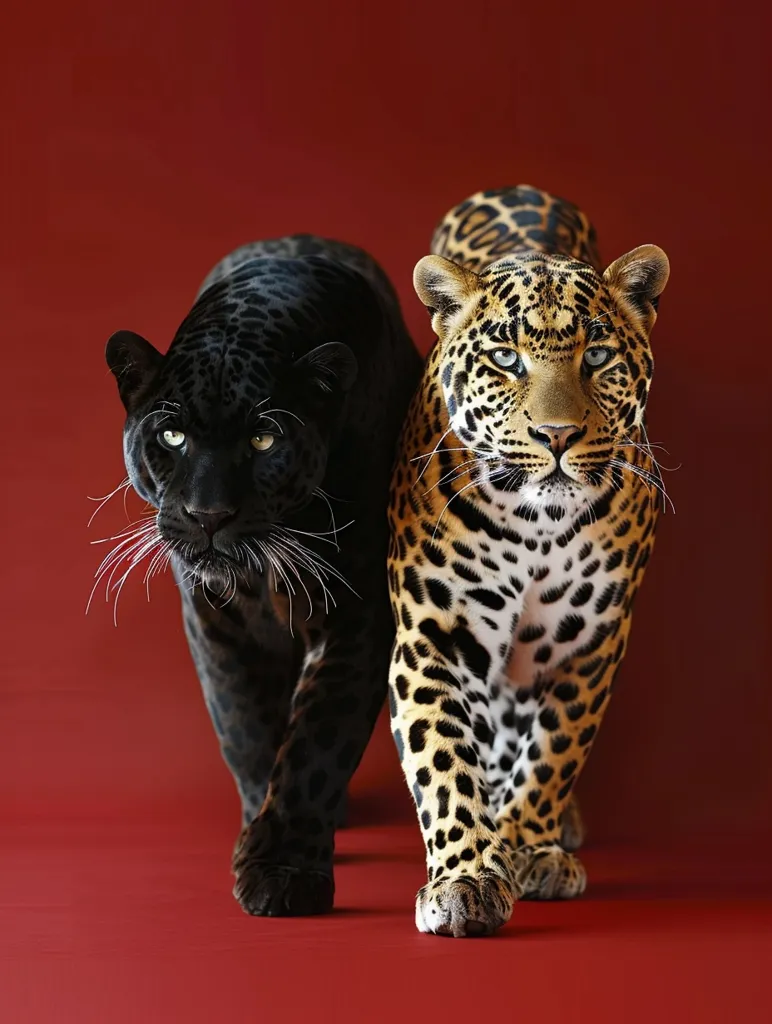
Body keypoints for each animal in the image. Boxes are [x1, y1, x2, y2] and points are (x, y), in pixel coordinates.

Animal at [104, 234, 422, 916]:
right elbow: (244, 724)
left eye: (262, 440)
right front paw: (258, 827)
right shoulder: (215, 619)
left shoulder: (358, 616)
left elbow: (318, 742)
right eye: (172, 435)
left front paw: (284, 873)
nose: (208, 515)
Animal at [386, 185, 670, 937]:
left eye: (597, 356)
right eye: (506, 360)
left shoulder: (589, 642)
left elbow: (555, 750)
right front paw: (464, 878)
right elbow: (445, 758)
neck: (538, 524)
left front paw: (526, 846)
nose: (557, 435)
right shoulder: (436, 636)